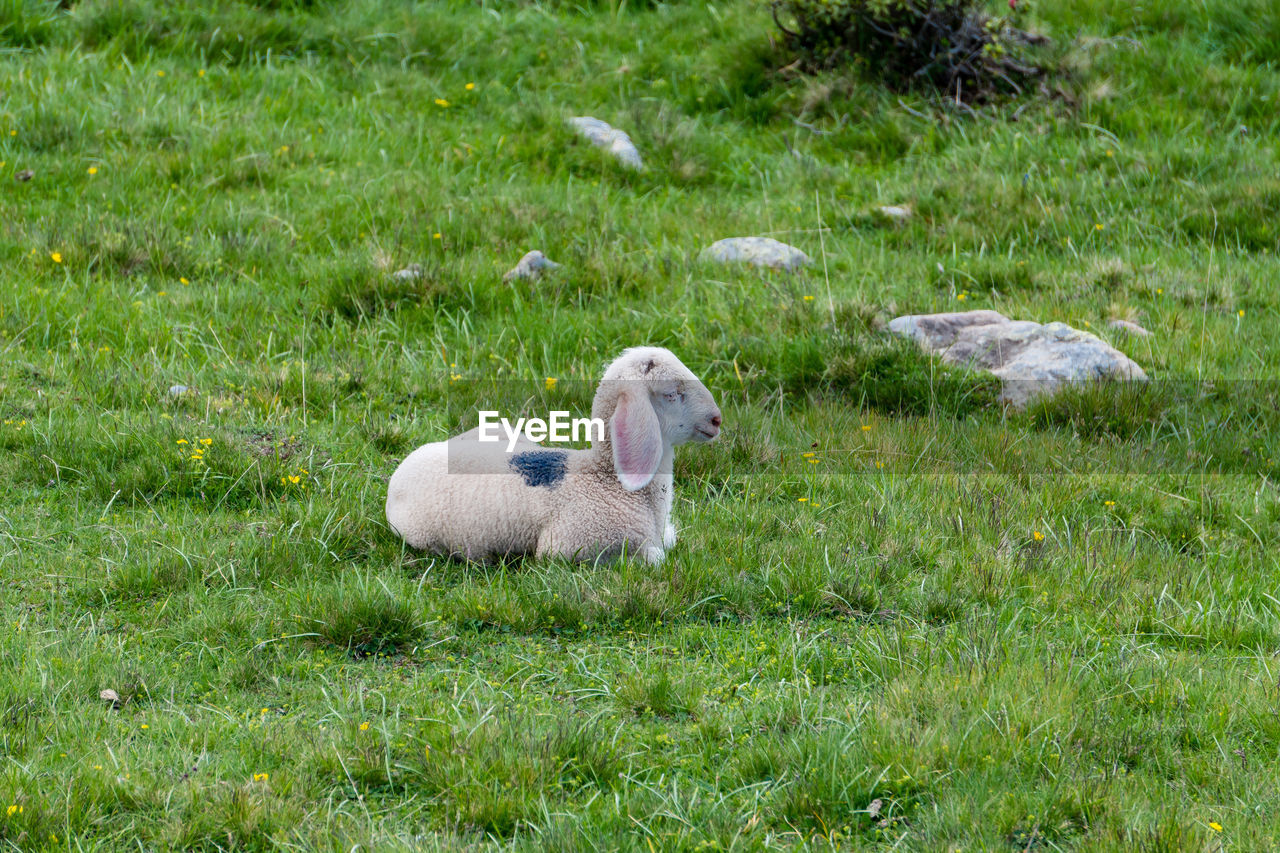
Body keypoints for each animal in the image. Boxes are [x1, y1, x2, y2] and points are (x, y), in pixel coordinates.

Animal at [381, 345, 721, 563]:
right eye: (672, 394)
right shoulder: (568, 548)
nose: (717, 420)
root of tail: (403, 469)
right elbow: (656, 557)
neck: (605, 478)